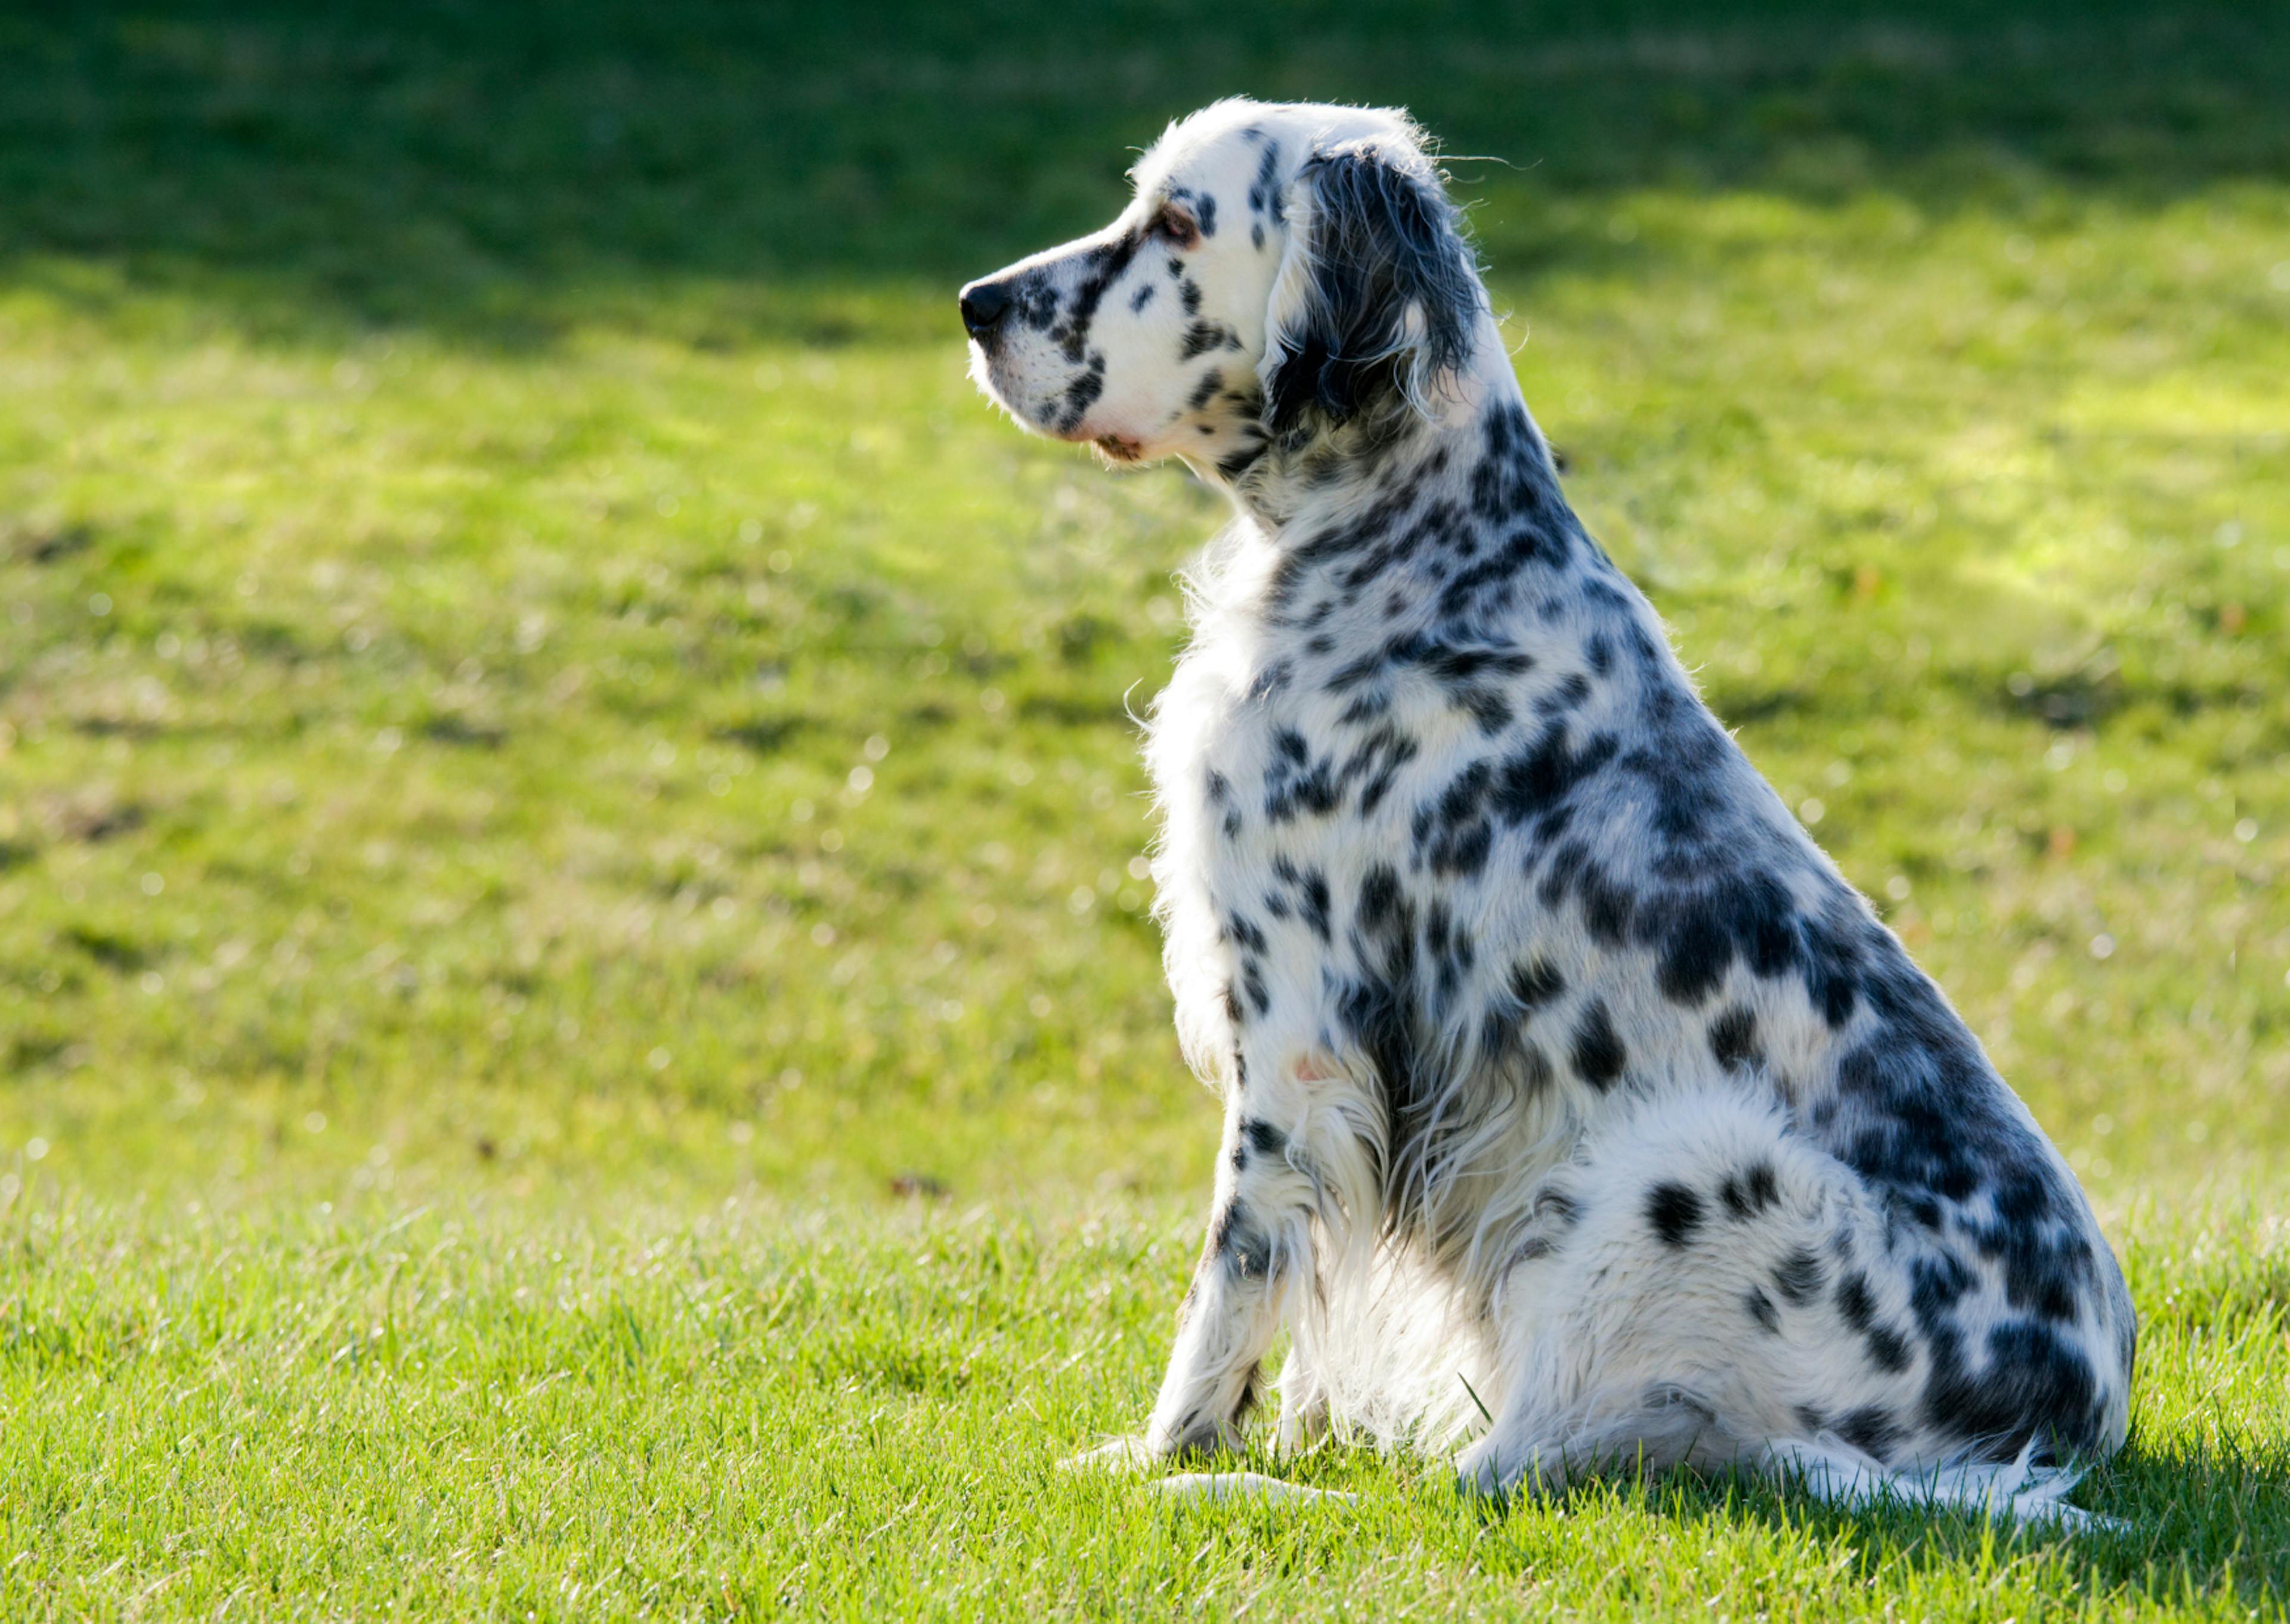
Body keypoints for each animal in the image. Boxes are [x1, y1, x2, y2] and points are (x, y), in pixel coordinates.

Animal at [957, 104, 2134, 1521]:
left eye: (1179, 223)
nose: (973, 304)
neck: (1415, 548)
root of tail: (2064, 1429)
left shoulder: (1298, 1033)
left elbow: (1236, 1281)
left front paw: (1166, 1452)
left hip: (1681, 1168)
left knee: (1493, 1472)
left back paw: (1228, 1490)